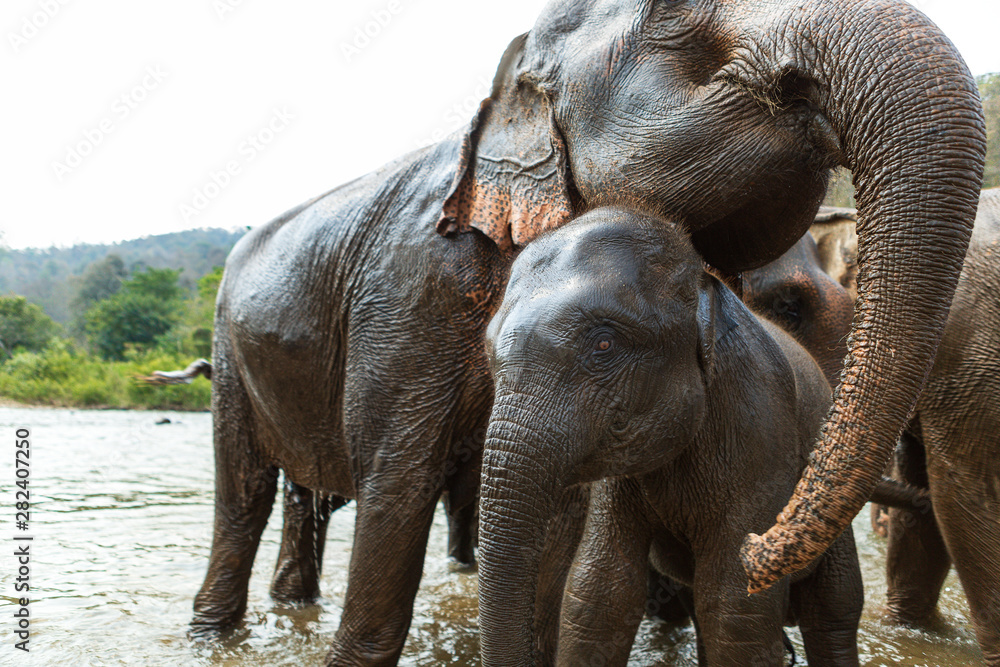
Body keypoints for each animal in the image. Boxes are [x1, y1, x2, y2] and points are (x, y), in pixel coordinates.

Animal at [480, 206, 864, 666]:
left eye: (604, 344)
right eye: (488, 353)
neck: (702, 283)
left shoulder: (761, 423)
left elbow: (735, 612)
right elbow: (600, 593)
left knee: (834, 608)